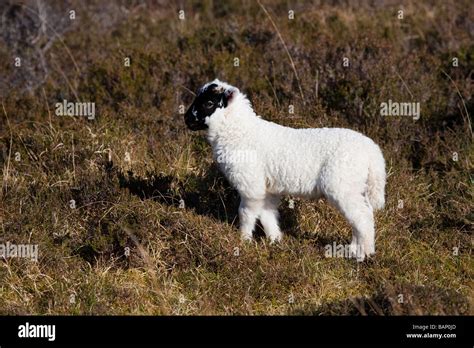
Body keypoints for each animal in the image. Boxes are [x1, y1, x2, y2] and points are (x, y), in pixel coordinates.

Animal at [183, 79, 386, 260]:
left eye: (209, 103)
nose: (186, 119)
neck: (238, 131)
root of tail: (372, 152)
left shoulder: (251, 185)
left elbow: (246, 213)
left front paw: (243, 240)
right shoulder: (267, 189)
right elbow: (267, 214)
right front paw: (275, 240)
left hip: (343, 186)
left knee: (363, 217)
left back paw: (363, 254)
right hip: (355, 187)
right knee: (361, 216)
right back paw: (354, 249)